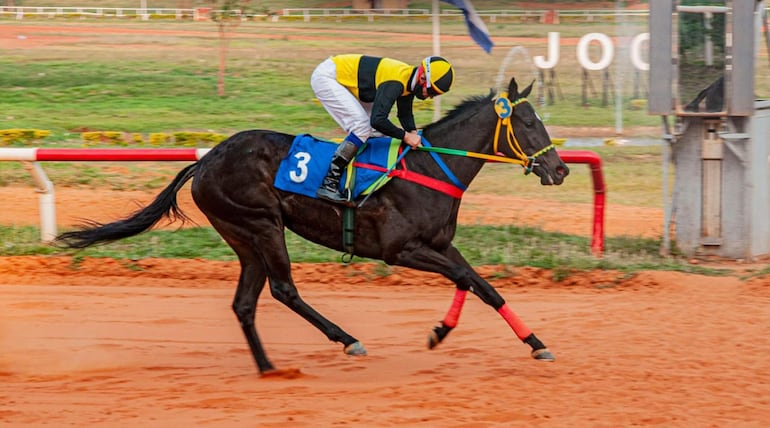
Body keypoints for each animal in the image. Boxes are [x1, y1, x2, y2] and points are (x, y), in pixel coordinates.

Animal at [54, 76, 568, 374]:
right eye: (527, 123)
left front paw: (535, 343)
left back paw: (268, 367)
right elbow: (464, 277)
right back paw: (347, 340)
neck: (429, 167)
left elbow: (483, 286)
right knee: (284, 290)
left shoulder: (440, 245)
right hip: (261, 225)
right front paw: (440, 332)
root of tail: (205, 161)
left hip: (243, 236)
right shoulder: (400, 250)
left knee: (245, 303)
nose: (560, 169)